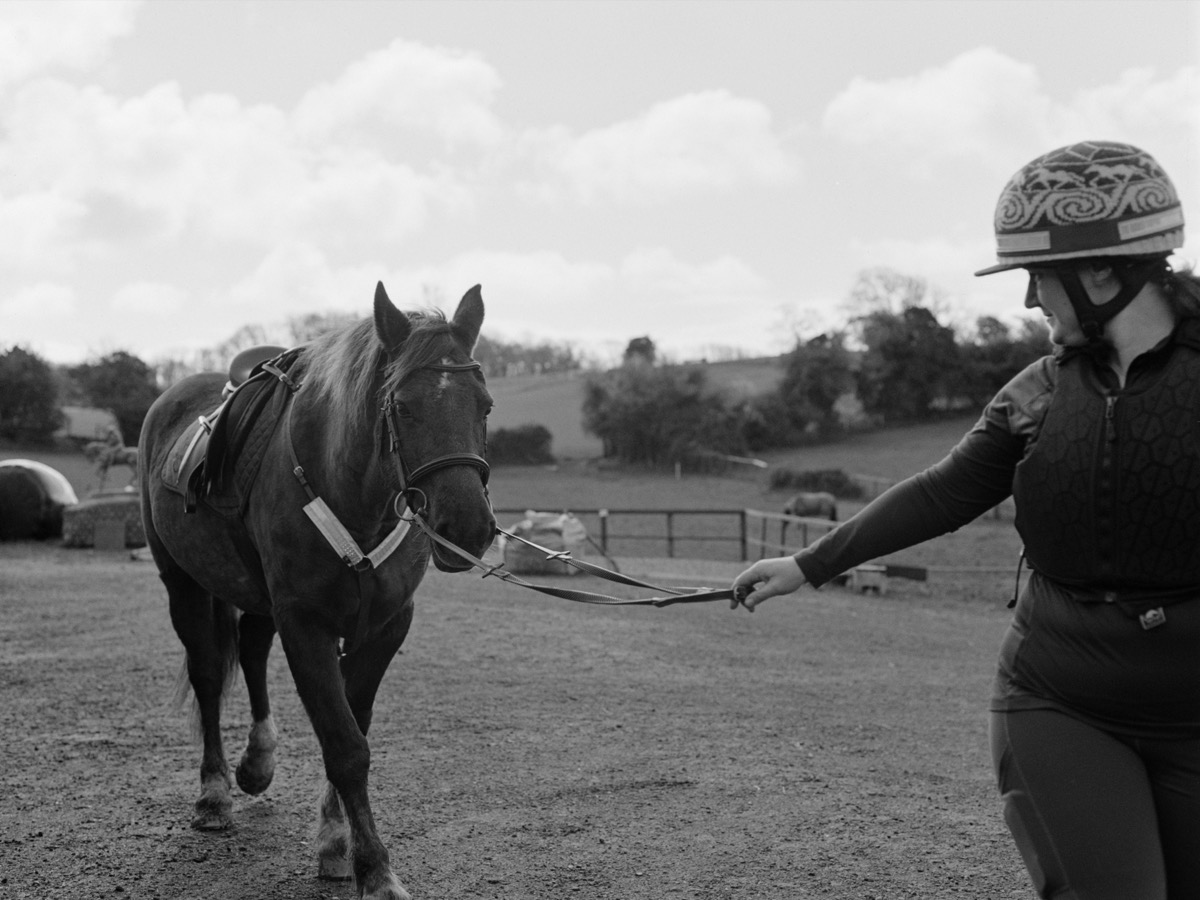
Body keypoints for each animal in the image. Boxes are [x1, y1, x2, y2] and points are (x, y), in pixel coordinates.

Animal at [139, 282, 495, 900]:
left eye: (486, 405)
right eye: (402, 407)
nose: (467, 528)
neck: (353, 496)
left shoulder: (384, 625)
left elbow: (353, 725)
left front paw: (335, 842)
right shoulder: (306, 624)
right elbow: (345, 745)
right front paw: (374, 869)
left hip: (256, 595)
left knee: (251, 652)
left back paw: (258, 761)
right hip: (181, 582)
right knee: (208, 675)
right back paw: (214, 794)